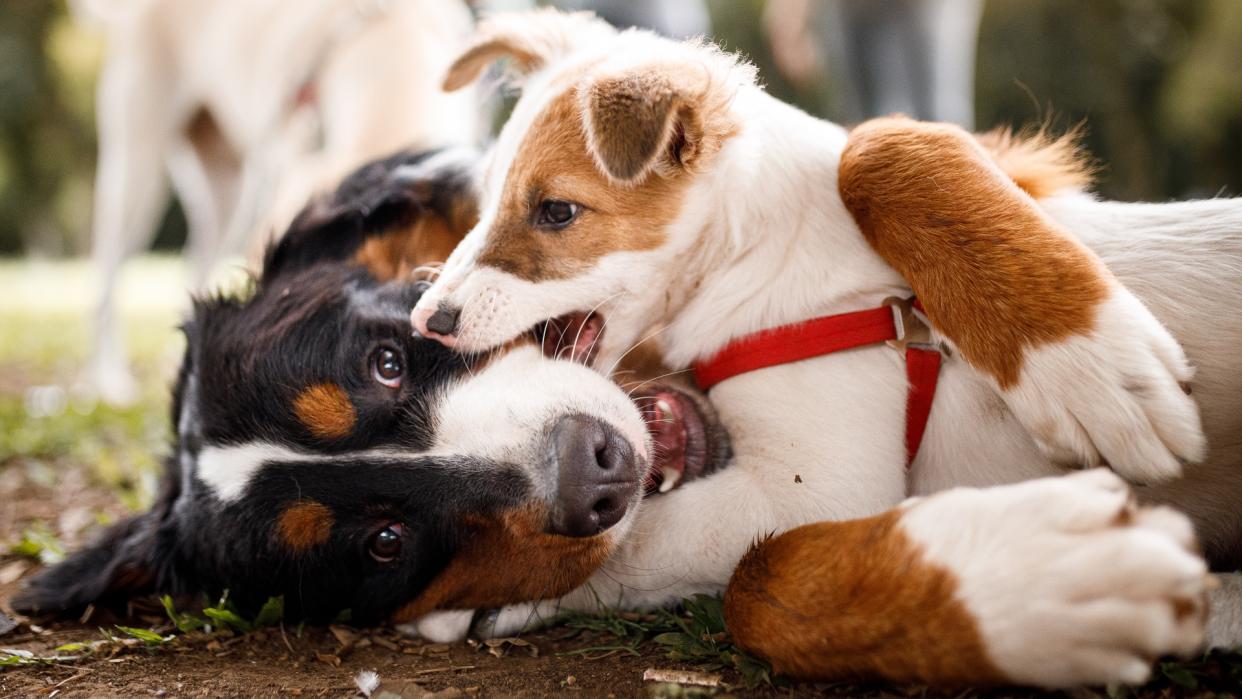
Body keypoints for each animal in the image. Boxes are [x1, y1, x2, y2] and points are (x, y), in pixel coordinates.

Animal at [409, 9, 1242, 690]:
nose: (428, 320)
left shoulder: (815, 489)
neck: (756, 255)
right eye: (485, 201)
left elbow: (730, 563)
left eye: (556, 211)